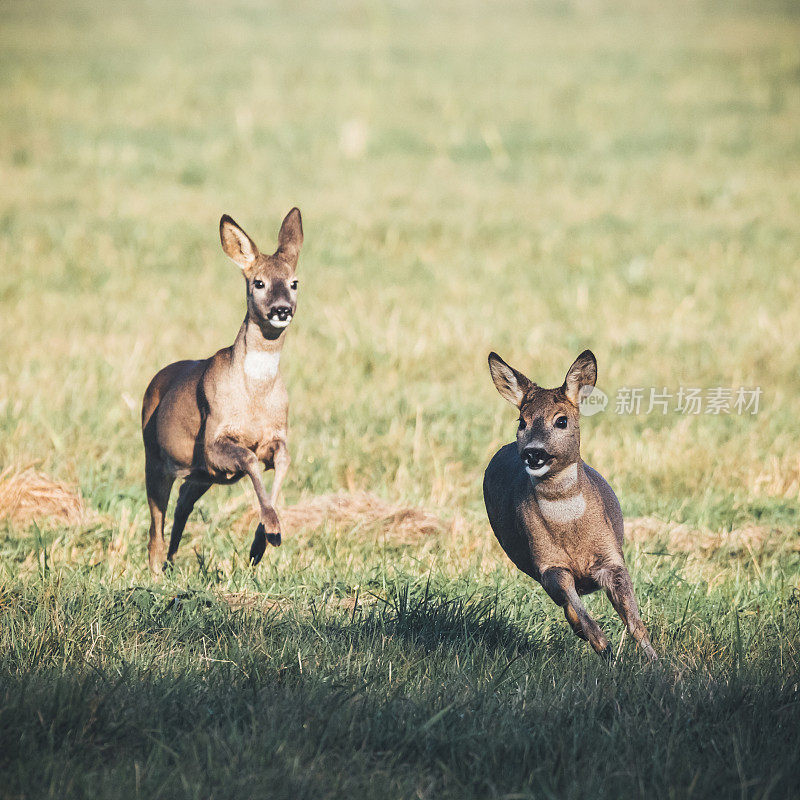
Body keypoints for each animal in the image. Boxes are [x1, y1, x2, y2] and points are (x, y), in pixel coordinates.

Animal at [141, 208, 304, 576]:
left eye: (294, 282)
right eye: (258, 282)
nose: (282, 309)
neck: (254, 394)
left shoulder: (277, 435)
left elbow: (284, 461)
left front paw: (261, 542)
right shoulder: (213, 438)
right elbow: (248, 458)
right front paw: (272, 529)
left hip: (198, 476)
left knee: (182, 504)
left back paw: (172, 562)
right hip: (154, 459)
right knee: (156, 523)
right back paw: (156, 570)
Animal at [482, 346, 656, 660]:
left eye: (561, 420)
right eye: (522, 421)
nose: (533, 453)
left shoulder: (612, 558)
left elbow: (636, 623)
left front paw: (657, 661)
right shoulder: (549, 565)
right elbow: (584, 616)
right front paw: (606, 649)